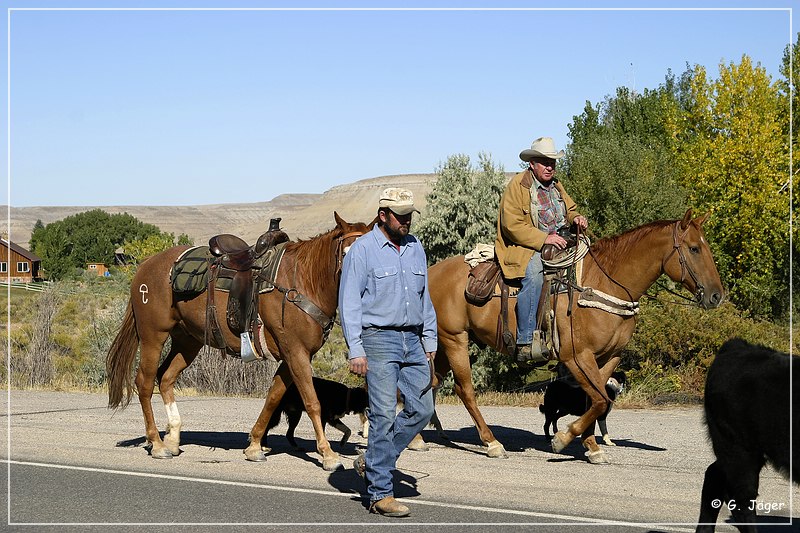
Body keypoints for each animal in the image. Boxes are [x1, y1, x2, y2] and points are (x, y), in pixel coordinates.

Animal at [106, 212, 372, 470]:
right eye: (346, 254)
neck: (304, 281)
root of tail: (145, 266)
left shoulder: (292, 356)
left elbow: (273, 397)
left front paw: (254, 445)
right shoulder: (296, 352)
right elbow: (312, 401)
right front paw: (327, 454)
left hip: (187, 341)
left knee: (166, 377)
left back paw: (172, 438)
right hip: (153, 335)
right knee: (144, 382)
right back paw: (157, 443)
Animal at [432, 208, 724, 462]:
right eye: (694, 248)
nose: (716, 295)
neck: (601, 285)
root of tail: (435, 271)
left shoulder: (609, 357)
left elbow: (593, 400)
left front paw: (591, 445)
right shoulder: (576, 356)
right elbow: (600, 400)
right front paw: (564, 439)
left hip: (445, 343)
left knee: (433, 381)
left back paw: (427, 437)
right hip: (455, 339)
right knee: (464, 390)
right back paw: (491, 442)